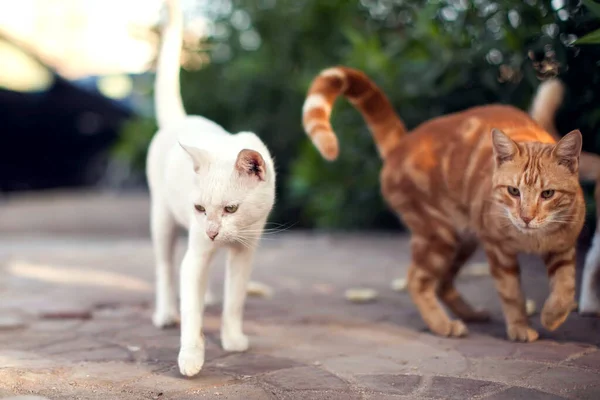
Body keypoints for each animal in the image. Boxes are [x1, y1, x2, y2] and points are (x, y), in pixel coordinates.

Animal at [146, 0, 276, 376]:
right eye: (199, 208)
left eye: (231, 209)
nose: (213, 231)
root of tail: (181, 119)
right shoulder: (196, 253)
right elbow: (191, 312)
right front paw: (191, 358)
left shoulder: (246, 251)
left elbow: (234, 300)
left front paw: (233, 340)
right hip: (162, 220)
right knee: (165, 268)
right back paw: (165, 314)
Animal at [302, 66, 584, 340]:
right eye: (514, 191)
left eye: (547, 194)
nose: (526, 217)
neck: (531, 239)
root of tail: (403, 142)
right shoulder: (498, 250)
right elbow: (512, 293)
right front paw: (519, 327)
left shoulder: (564, 247)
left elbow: (566, 287)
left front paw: (553, 316)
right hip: (438, 235)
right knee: (417, 279)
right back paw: (442, 324)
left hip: (461, 240)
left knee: (442, 283)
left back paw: (470, 314)